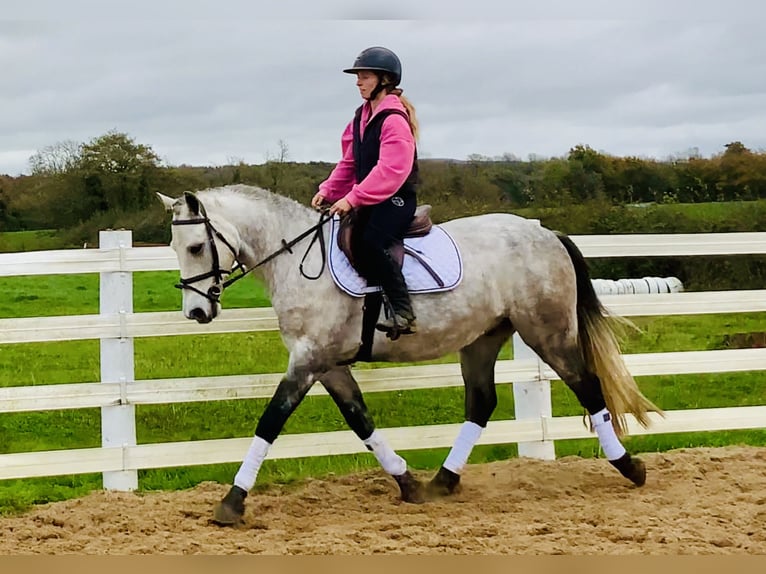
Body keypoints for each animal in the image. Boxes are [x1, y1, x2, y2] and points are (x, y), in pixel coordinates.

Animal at [157, 184, 660, 525]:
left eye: (197, 246)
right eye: (176, 248)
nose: (196, 312)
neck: (297, 261)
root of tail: (546, 233)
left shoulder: (309, 360)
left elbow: (271, 421)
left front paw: (231, 502)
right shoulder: (329, 365)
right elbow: (360, 420)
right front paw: (408, 483)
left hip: (548, 331)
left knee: (587, 387)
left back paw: (630, 466)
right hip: (482, 339)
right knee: (482, 403)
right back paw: (443, 481)